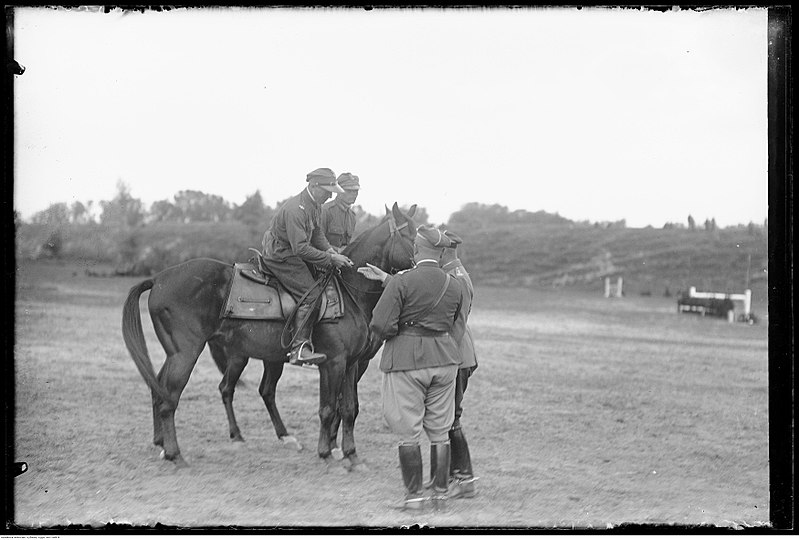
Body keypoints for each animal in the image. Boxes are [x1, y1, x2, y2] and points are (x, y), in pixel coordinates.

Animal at [123, 202, 418, 468]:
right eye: (410, 237)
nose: (420, 266)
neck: (348, 292)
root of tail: (159, 279)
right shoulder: (333, 363)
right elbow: (328, 409)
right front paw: (326, 452)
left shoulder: (352, 363)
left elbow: (349, 409)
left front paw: (352, 455)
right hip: (187, 354)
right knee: (172, 397)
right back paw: (176, 454)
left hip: (189, 354)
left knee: (162, 388)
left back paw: (163, 444)